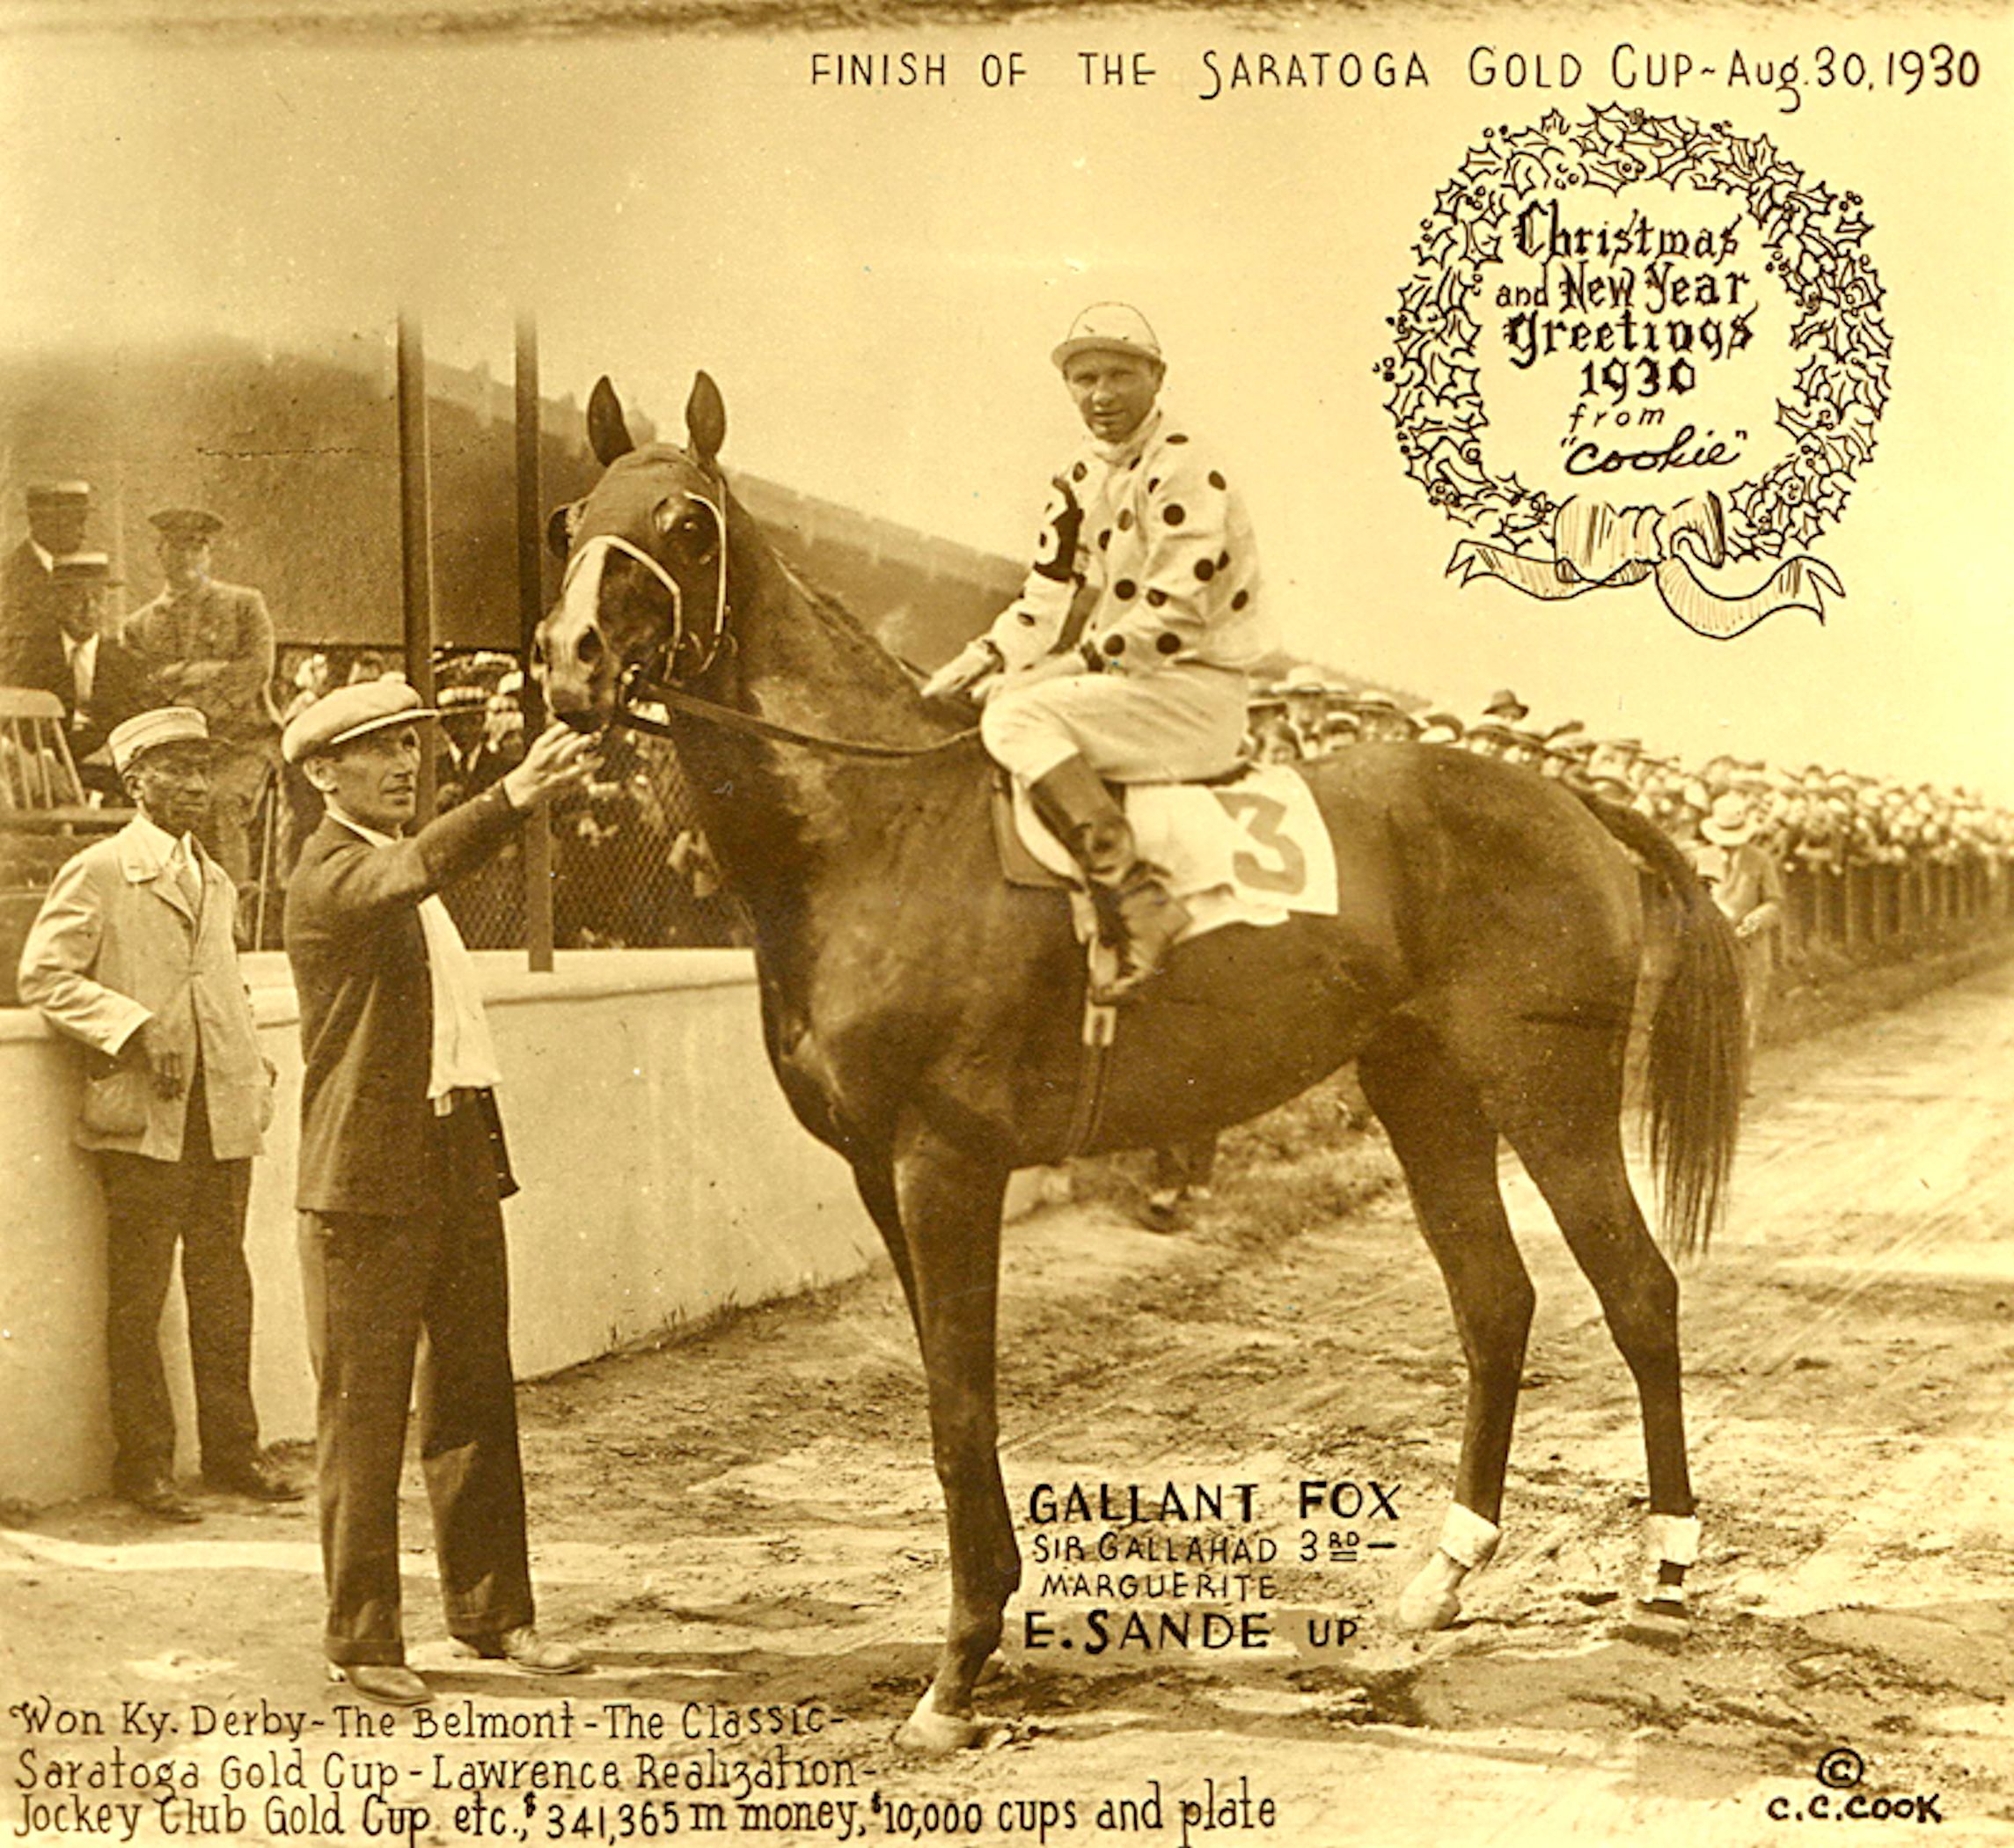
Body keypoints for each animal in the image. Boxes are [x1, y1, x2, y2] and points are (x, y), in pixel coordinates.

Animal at [531, 366, 1747, 1749]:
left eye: (687, 526)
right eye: (569, 519)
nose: (568, 662)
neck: (878, 831)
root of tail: (1565, 799)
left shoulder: (946, 1165)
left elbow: (959, 1407)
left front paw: (954, 1676)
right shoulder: (876, 1172)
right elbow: (954, 1398)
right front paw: (977, 1642)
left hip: (1549, 1092)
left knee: (1639, 1293)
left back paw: (1664, 1576)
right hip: (1426, 1091)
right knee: (1496, 1303)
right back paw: (1442, 1577)